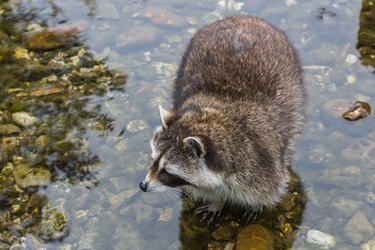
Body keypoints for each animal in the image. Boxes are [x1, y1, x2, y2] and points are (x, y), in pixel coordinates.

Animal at [140, 15, 306, 219]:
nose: (143, 186)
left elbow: (267, 190)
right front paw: (216, 202)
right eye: (153, 160)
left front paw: (255, 205)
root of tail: (243, 18)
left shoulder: (262, 166)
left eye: (168, 172)